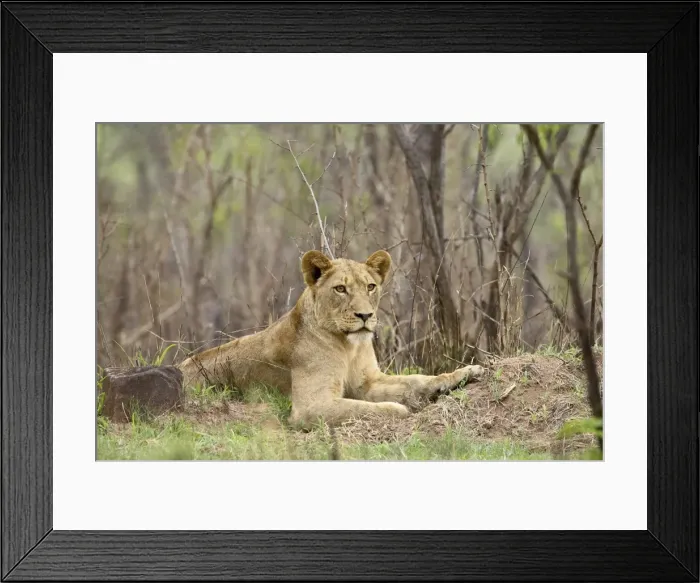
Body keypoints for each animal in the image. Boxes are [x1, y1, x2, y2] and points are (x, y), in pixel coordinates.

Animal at [177, 249, 484, 429]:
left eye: (370, 286)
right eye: (340, 289)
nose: (365, 315)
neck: (349, 346)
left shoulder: (368, 381)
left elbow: (418, 380)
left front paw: (465, 373)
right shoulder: (311, 405)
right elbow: (366, 409)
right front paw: (400, 410)